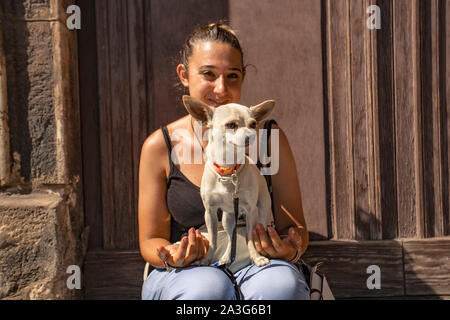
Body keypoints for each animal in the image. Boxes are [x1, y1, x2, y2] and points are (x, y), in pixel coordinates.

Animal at [182, 95, 274, 268]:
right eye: (231, 125)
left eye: (253, 124)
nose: (251, 135)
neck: (228, 171)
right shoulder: (210, 212)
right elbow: (213, 240)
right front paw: (206, 259)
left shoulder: (251, 210)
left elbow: (251, 238)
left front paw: (256, 257)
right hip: (228, 218)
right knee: (232, 237)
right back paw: (225, 257)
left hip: (262, 210)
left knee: (259, 229)